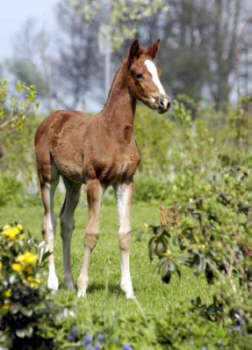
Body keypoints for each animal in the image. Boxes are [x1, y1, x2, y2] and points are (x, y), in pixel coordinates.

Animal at [34, 40, 170, 298]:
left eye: (158, 72)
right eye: (139, 74)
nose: (164, 103)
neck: (115, 134)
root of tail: (50, 119)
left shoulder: (125, 183)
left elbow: (125, 235)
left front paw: (129, 291)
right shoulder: (95, 182)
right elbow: (91, 234)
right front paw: (82, 289)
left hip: (72, 183)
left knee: (66, 222)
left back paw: (67, 281)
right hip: (48, 178)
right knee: (49, 224)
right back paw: (53, 284)